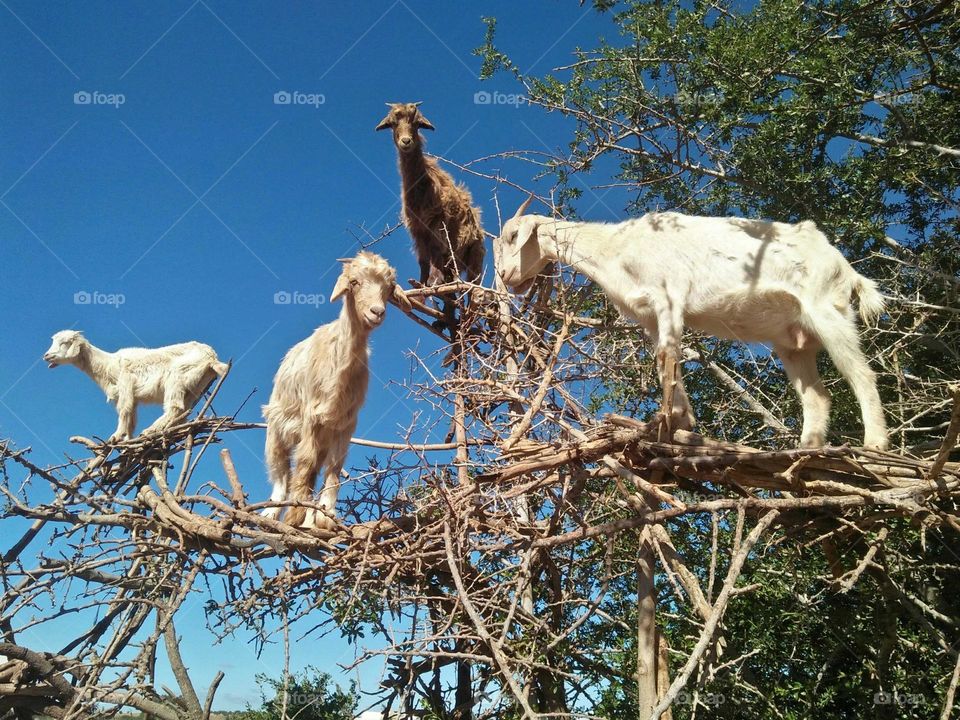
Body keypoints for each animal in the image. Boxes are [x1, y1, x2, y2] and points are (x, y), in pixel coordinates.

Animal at [43, 330, 231, 442]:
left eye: (65, 342)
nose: (46, 356)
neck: (108, 365)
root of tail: (211, 357)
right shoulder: (133, 396)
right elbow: (131, 417)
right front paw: (127, 438)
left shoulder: (125, 384)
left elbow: (124, 410)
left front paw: (116, 436)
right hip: (195, 388)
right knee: (183, 411)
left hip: (177, 376)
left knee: (175, 407)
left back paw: (150, 430)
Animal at [262, 252, 412, 528]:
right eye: (354, 282)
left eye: (388, 287)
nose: (377, 312)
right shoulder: (311, 417)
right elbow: (305, 462)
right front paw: (295, 515)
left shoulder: (345, 424)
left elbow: (333, 468)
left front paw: (323, 516)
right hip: (276, 426)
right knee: (280, 470)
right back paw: (272, 511)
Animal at [374, 99, 484, 330]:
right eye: (392, 123)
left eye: (416, 123)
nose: (406, 141)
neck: (424, 183)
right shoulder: (417, 231)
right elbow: (423, 262)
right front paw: (420, 291)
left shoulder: (437, 224)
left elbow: (433, 256)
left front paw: (431, 284)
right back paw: (444, 320)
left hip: (474, 256)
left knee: (472, 287)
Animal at [498, 194, 888, 448]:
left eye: (513, 236)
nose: (504, 276)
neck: (617, 248)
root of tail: (844, 265)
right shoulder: (650, 317)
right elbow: (663, 361)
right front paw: (681, 421)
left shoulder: (669, 298)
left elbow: (667, 356)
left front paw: (667, 423)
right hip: (791, 340)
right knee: (817, 395)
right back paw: (807, 447)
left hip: (827, 309)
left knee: (862, 374)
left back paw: (875, 444)